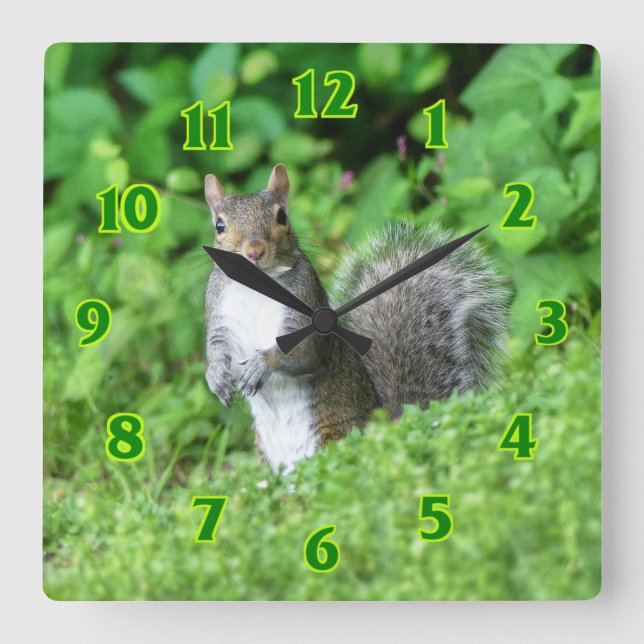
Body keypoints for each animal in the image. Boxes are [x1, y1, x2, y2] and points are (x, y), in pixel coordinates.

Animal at [204, 163, 509, 474]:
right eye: (220, 225)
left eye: (282, 216)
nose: (254, 251)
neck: (255, 287)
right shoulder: (218, 314)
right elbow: (216, 349)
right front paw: (215, 376)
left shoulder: (306, 311)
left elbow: (302, 354)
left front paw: (260, 364)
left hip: (335, 436)